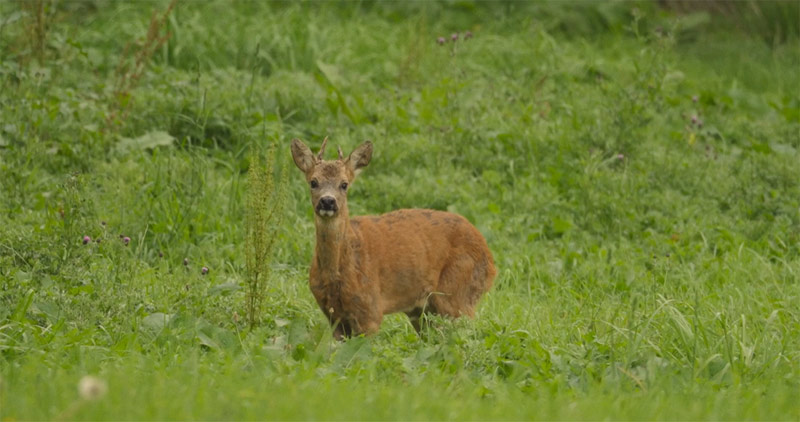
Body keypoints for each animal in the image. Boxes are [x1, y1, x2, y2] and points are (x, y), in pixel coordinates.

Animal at [290, 138, 496, 340]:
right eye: (313, 182)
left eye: (344, 184)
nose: (327, 201)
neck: (337, 274)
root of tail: (491, 260)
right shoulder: (333, 317)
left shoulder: (370, 310)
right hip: (422, 310)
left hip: (458, 293)